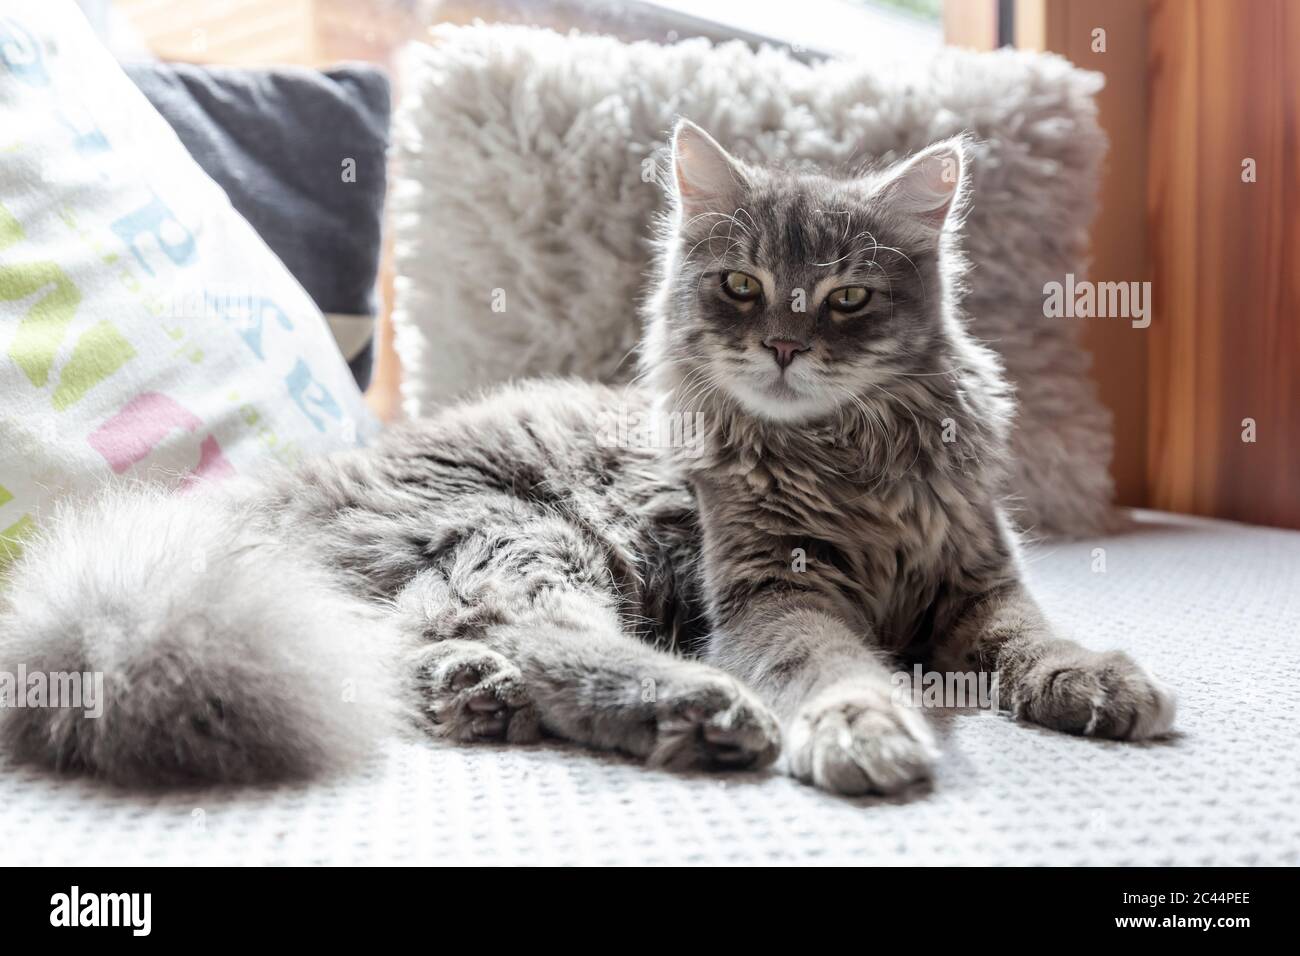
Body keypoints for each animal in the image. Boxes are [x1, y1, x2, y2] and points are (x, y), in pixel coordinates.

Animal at [0, 119, 1180, 790]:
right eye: (741, 285)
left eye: (847, 298)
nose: (783, 346)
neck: (845, 455)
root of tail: (225, 513)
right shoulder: (772, 592)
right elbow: (834, 665)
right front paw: (862, 729)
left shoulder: (976, 578)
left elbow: (1034, 638)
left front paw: (1095, 681)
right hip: (521, 533)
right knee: (533, 633)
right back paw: (691, 711)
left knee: (377, 645)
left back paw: (471, 692)